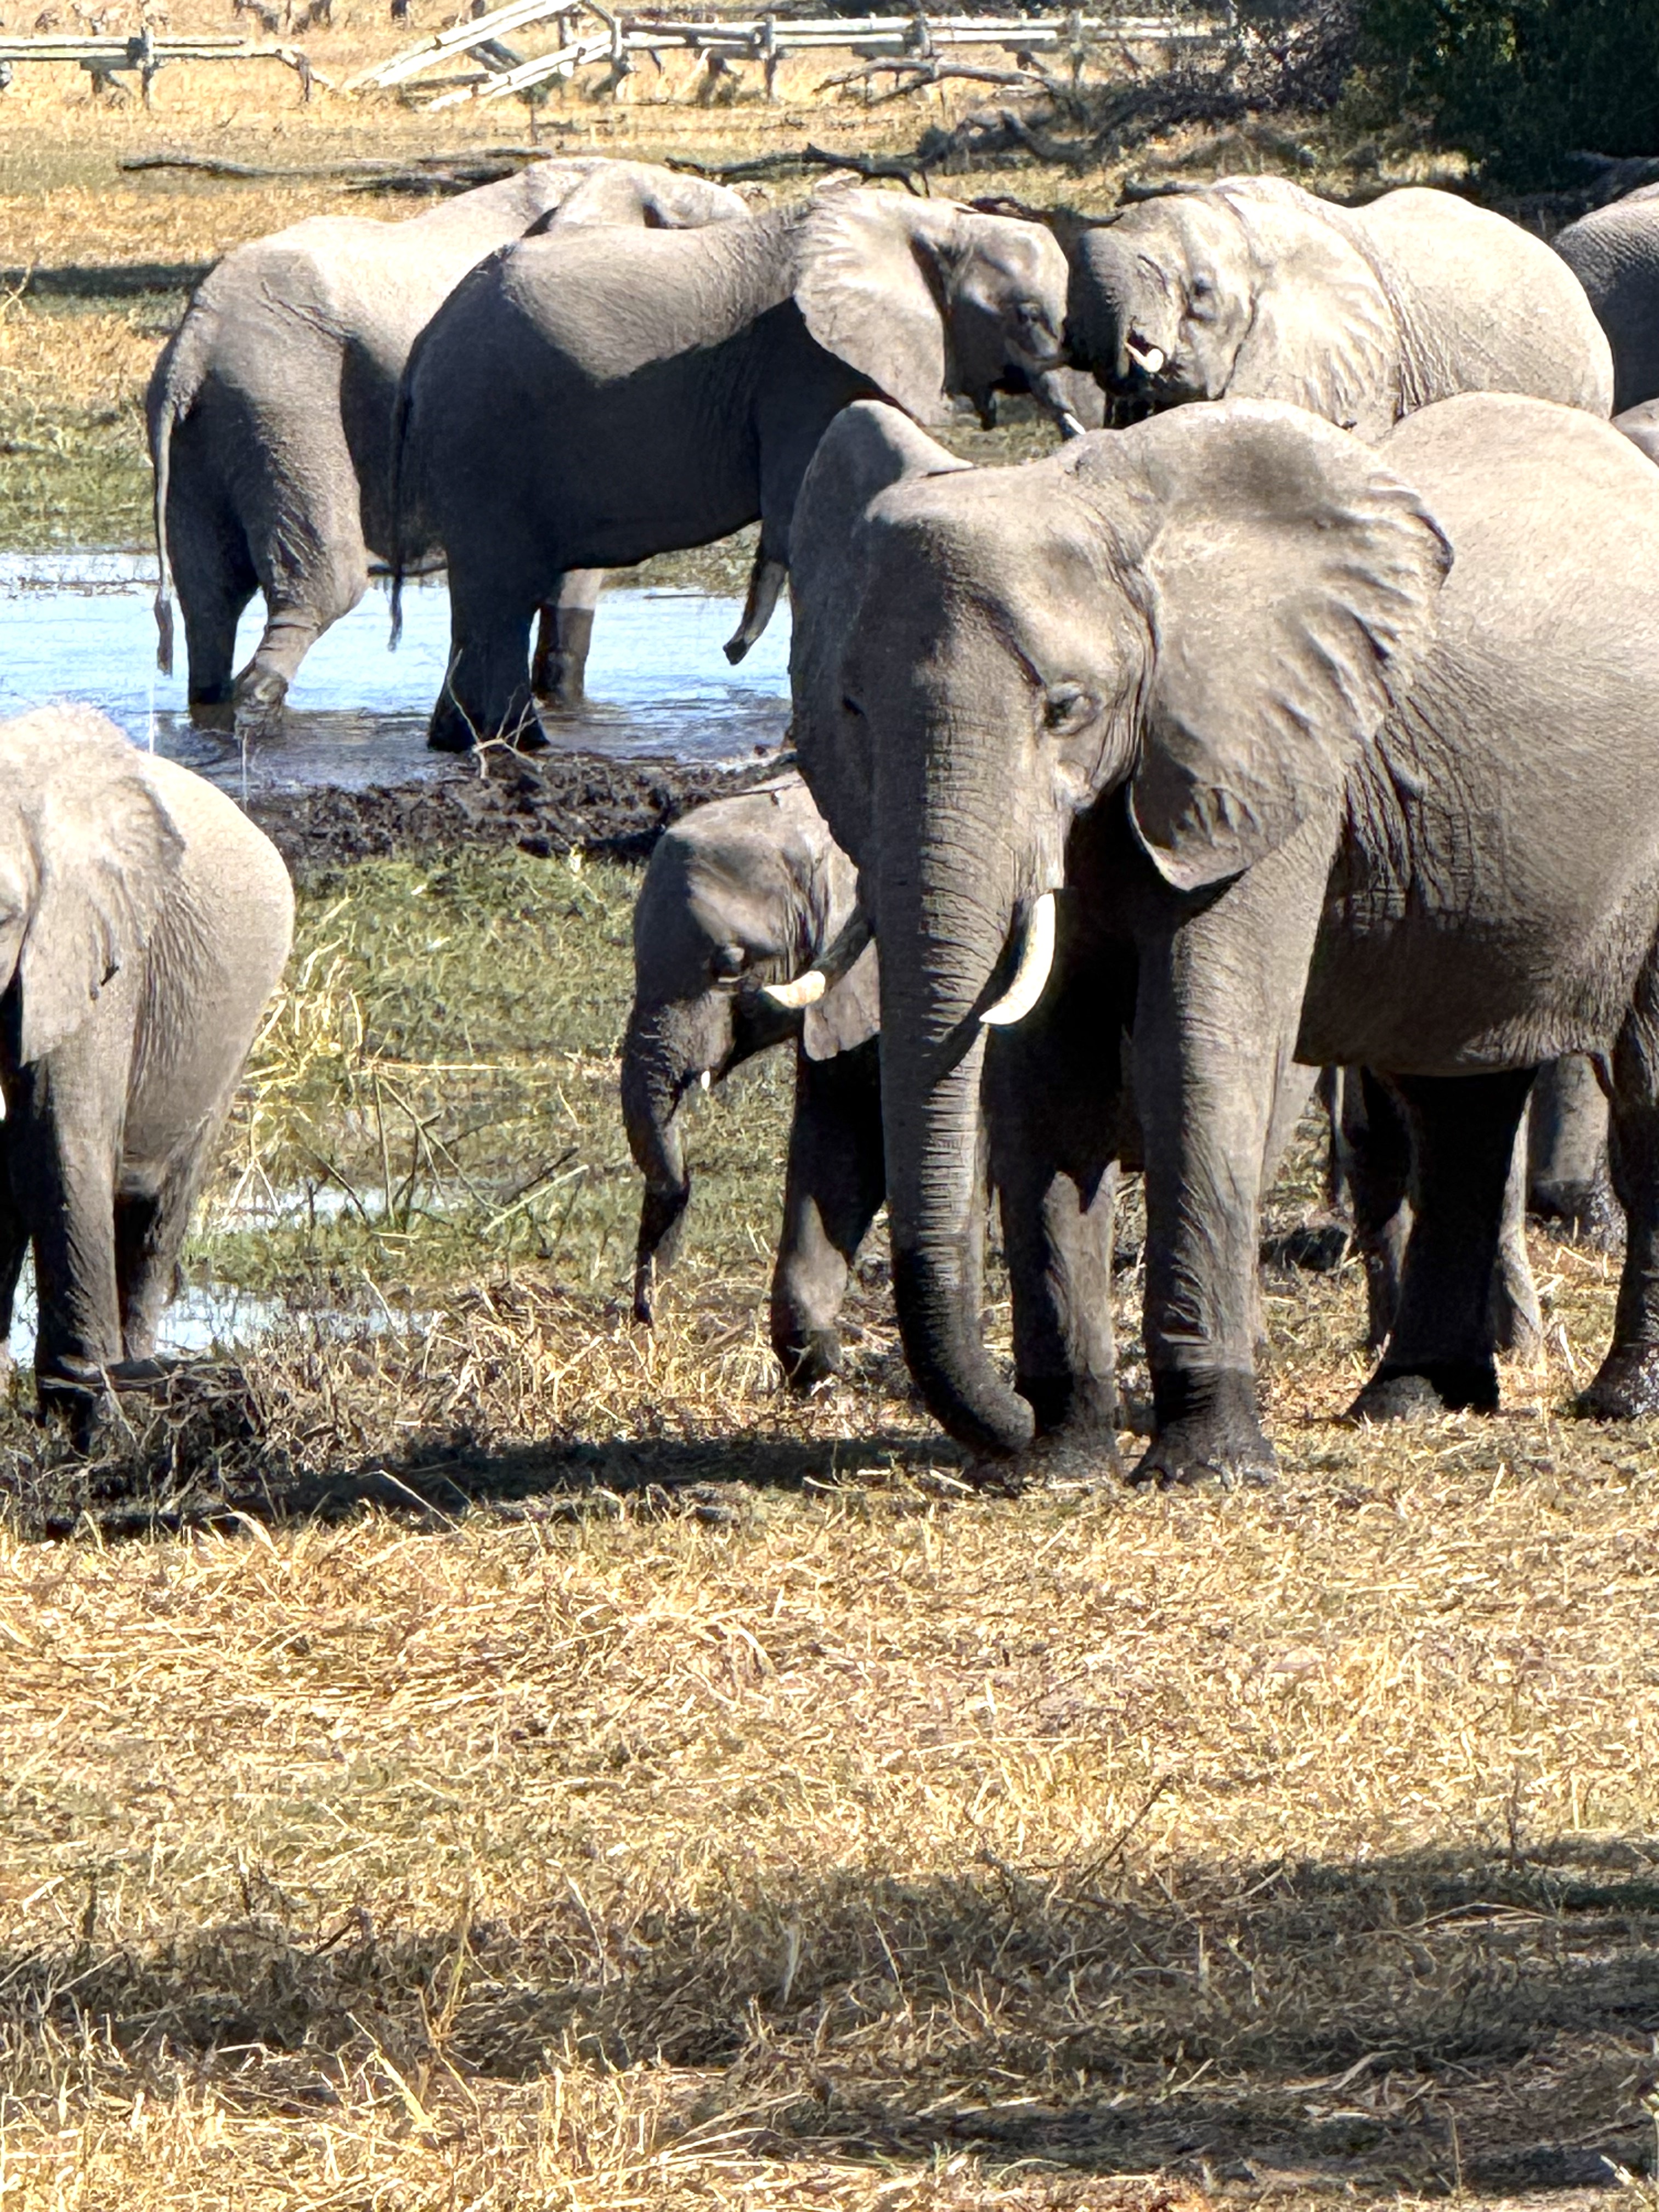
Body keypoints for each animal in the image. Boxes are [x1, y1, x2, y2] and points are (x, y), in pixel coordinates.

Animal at [0, 706, 292, 1432]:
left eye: (3, 916)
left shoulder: (94, 955)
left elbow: (57, 1140)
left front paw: (87, 1417)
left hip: (233, 1033)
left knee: (157, 1214)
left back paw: (138, 1380)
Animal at [148, 157, 748, 742]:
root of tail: (193, 340)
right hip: (285, 399)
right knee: (327, 586)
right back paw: (257, 707)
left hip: (207, 430)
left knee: (210, 601)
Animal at [389, 185, 1071, 755]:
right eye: (1026, 315)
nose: (729, 651)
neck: (931, 220)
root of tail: (426, 343)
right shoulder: (805, 365)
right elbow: (799, 524)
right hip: (483, 432)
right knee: (501, 590)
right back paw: (514, 744)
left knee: (489, 595)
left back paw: (464, 742)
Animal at [788, 391, 1659, 1484]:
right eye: (850, 706)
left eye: (1065, 709)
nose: (1006, 1425)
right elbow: (1050, 1080)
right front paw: (1061, 1457)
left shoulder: (1271, 775)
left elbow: (1196, 1057)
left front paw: (1205, 1464)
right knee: (1452, 1095)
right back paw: (1411, 1399)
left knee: (1641, 1092)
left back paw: (1619, 1401)